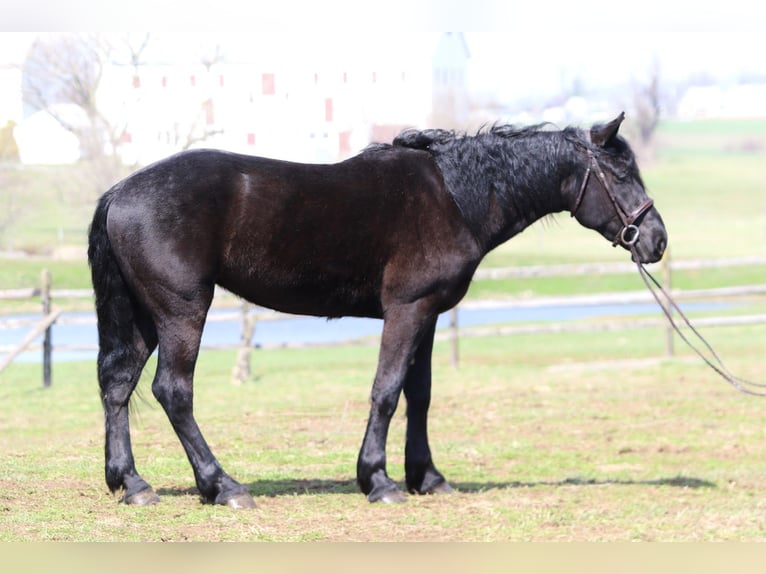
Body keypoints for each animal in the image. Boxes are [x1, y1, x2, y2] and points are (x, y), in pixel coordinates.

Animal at [88, 112, 667, 508]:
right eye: (619, 175)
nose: (656, 240)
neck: (455, 196)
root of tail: (120, 191)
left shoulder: (428, 315)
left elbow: (419, 394)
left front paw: (427, 477)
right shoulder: (407, 310)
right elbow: (387, 391)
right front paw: (380, 480)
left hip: (143, 317)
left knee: (118, 385)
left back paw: (132, 483)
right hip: (182, 311)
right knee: (173, 391)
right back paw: (222, 485)